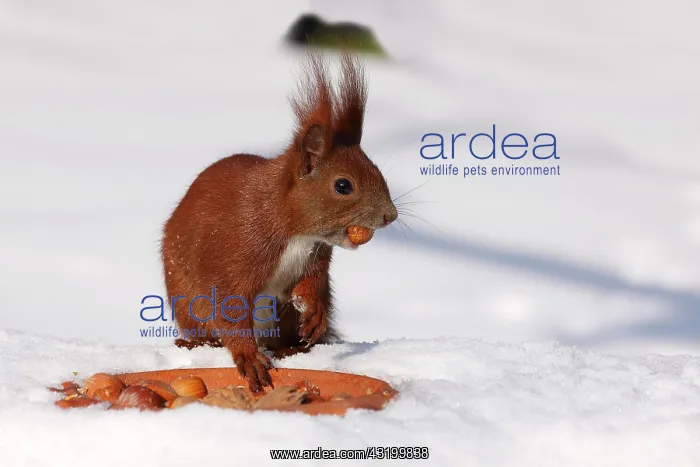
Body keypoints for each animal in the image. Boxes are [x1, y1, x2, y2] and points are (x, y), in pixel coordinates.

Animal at [160, 51, 398, 392]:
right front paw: (248, 357)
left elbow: (312, 283)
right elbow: (229, 306)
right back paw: (200, 344)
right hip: (188, 302)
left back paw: (294, 346)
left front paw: (315, 311)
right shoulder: (237, 252)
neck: (294, 229)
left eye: (376, 169)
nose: (390, 216)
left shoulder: (317, 257)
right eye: (343, 185)